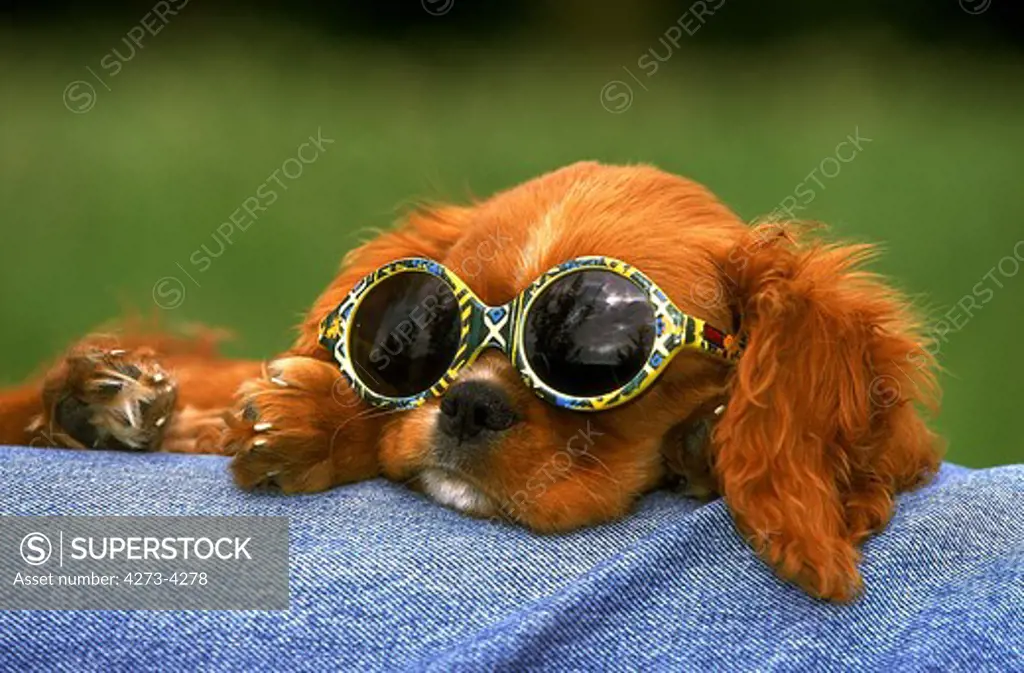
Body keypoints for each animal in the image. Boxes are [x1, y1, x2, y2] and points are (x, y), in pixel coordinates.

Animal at [2, 161, 942, 598]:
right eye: (421, 335)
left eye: (599, 347)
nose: (469, 403)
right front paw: (300, 415)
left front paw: (707, 441)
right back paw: (95, 401)